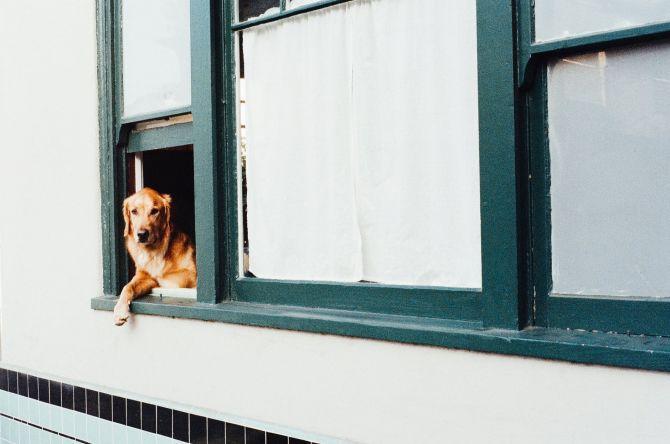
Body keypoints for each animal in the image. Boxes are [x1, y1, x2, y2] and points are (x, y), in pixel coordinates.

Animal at [113, 187, 196, 326]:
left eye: (154, 211)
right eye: (134, 211)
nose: (142, 234)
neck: (154, 252)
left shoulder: (192, 273)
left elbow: (170, 279)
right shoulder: (143, 276)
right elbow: (127, 287)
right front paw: (120, 310)